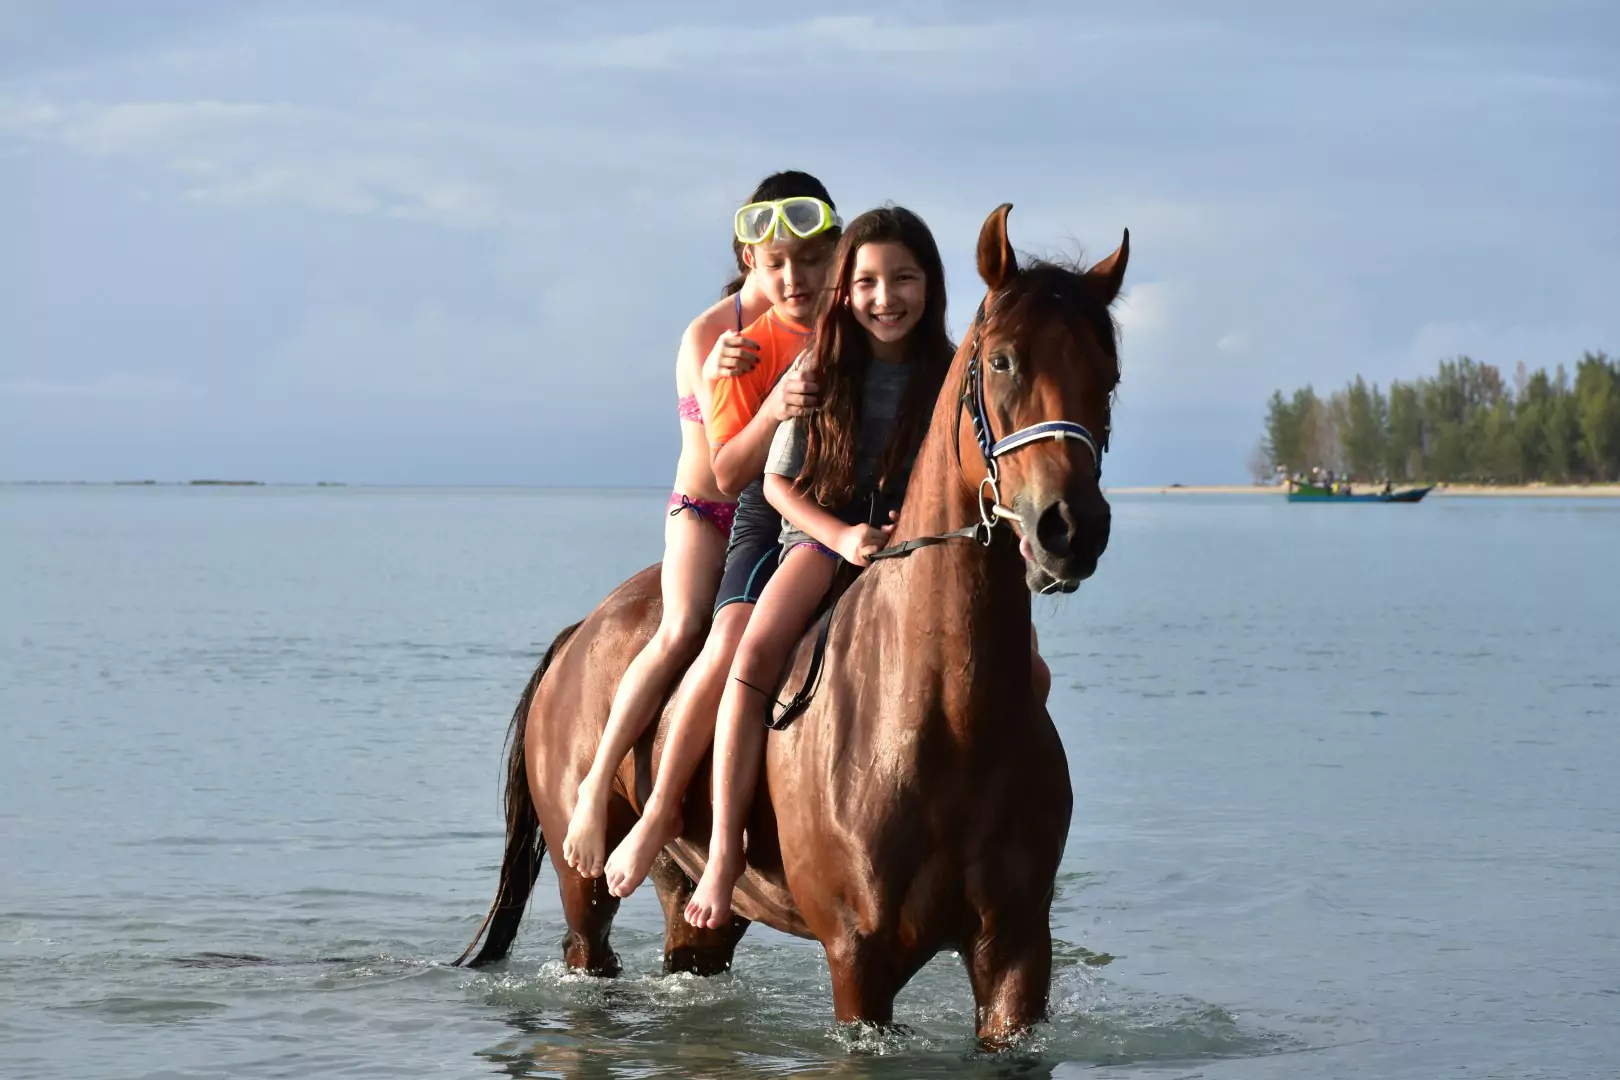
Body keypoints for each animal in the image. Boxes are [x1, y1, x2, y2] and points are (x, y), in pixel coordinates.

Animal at [456, 204, 1127, 1045]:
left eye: (1109, 376)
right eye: (1002, 361)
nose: (1071, 527)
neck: (944, 711)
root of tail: (580, 632)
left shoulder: (1016, 953)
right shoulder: (859, 959)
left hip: (700, 911)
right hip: (588, 905)